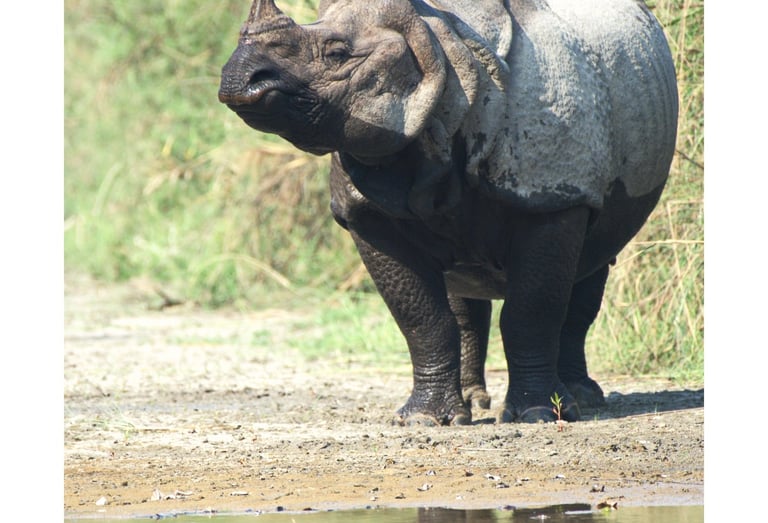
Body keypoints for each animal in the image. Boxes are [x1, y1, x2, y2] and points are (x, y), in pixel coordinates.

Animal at [218, 0, 678, 425]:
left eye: (336, 53)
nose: (241, 76)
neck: (444, 55)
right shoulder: (367, 214)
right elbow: (422, 317)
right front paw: (424, 419)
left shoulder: (554, 194)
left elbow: (533, 309)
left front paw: (536, 415)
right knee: (467, 286)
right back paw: (476, 405)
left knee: (592, 265)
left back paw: (580, 401)